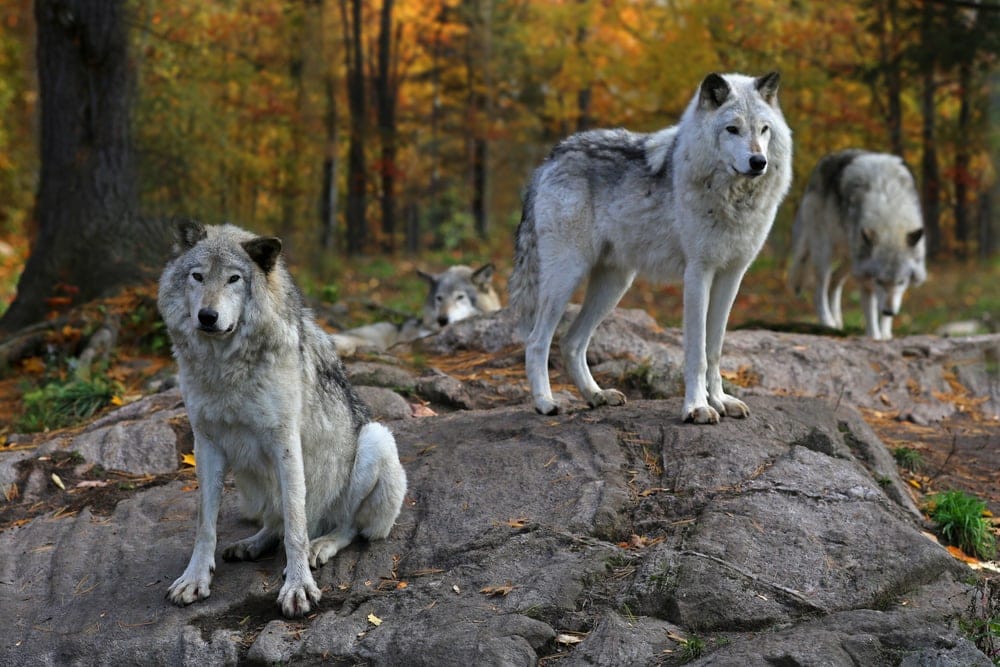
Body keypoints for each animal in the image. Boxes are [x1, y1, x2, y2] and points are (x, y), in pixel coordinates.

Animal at [158, 220, 407, 618]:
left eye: (234, 279)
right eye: (197, 276)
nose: (208, 316)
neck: (225, 369)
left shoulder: (285, 442)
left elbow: (295, 527)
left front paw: (298, 586)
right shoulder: (206, 443)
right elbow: (205, 525)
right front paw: (195, 579)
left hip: (375, 439)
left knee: (345, 527)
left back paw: (322, 544)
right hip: (249, 485)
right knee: (274, 521)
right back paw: (252, 543)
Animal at [509, 72, 792, 424]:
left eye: (764, 129)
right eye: (732, 129)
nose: (758, 162)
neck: (733, 198)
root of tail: (551, 157)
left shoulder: (732, 276)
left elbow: (714, 350)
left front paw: (721, 401)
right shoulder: (698, 274)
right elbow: (696, 353)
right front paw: (697, 407)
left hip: (614, 285)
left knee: (571, 342)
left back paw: (597, 395)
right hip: (566, 276)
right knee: (537, 341)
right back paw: (545, 403)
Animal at [787, 149, 926, 340]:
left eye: (900, 282)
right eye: (879, 281)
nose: (889, 311)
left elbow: (883, 315)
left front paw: (885, 335)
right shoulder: (868, 280)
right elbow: (870, 312)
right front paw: (874, 336)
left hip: (850, 260)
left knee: (834, 282)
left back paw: (838, 321)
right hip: (824, 254)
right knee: (819, 289)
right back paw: (827, 321)